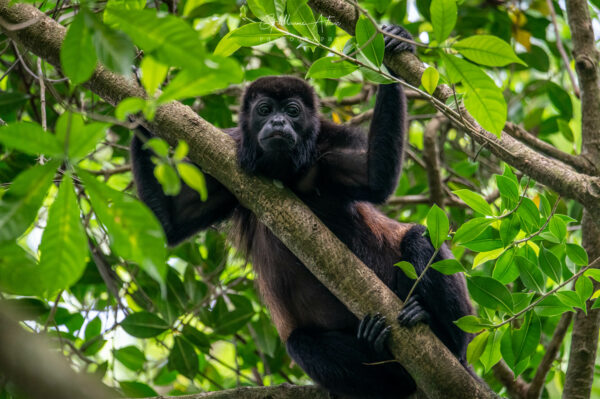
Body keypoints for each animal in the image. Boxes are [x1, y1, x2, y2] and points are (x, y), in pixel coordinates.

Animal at [131, 25, 474, 399]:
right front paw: (141, 107)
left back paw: (441, 335)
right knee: (301, 343)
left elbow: (376, 179)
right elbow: (169, 225)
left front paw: (394, 43)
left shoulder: (325, 156)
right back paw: (379, 351)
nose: (280, 122)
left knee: (419, 237)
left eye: (293, 111)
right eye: (265, 109)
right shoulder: (225, 165)